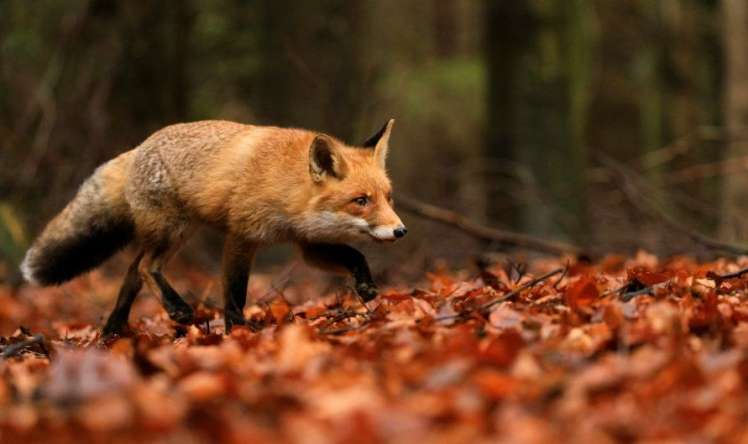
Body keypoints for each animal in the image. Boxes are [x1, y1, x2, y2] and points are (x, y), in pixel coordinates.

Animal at [20, 119, 406, 334]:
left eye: (389, 197)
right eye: (361, 200)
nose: (401, 231)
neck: (287, 185)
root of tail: (138, 147)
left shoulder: (306, 242)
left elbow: (355, 255)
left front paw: (366, 287)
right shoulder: (241, 235)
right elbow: (234, 293)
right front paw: (237, 332)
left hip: (175, 233)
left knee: (131, 271)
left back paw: (112, 331)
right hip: (173, 230)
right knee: (145, 267)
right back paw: (176, 309)